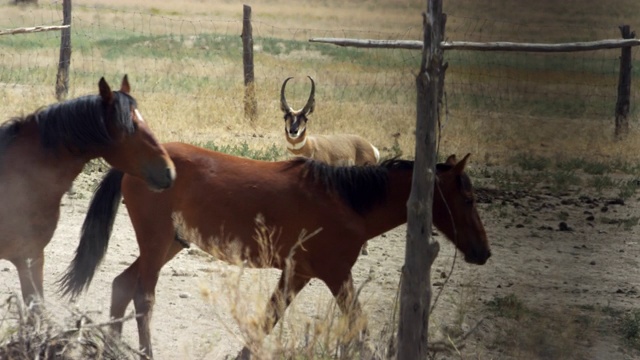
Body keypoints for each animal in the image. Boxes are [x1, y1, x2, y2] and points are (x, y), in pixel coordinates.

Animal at [58, 142, 490, 358]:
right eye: (468, 199)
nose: (483, 253)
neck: (347, 201)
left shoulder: (301, 273)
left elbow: (269, 320)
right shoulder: (330, 272)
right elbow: (354, 324)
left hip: (169, 244)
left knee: (122, 284)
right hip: (156, 242)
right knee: (144, 297)